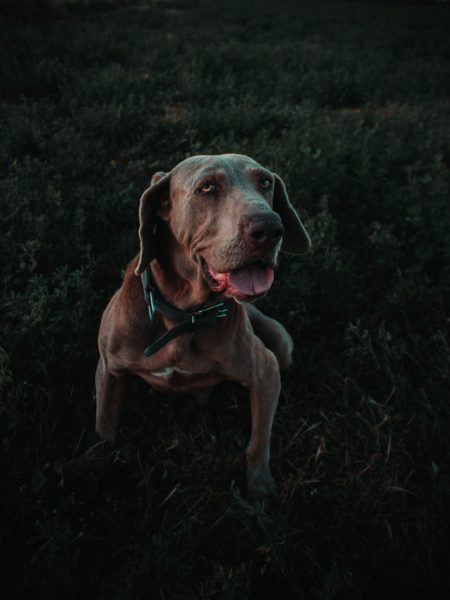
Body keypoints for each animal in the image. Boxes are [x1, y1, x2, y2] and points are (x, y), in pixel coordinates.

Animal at [96, 152, 310, 500]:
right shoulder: (109, 371)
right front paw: (97, 470)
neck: (185, 317)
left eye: (265, 182)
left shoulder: (265, 370)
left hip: (281, 343)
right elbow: (104, 429)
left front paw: (261, 489)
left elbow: (258, 443)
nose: (269, 228)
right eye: (207, 188)